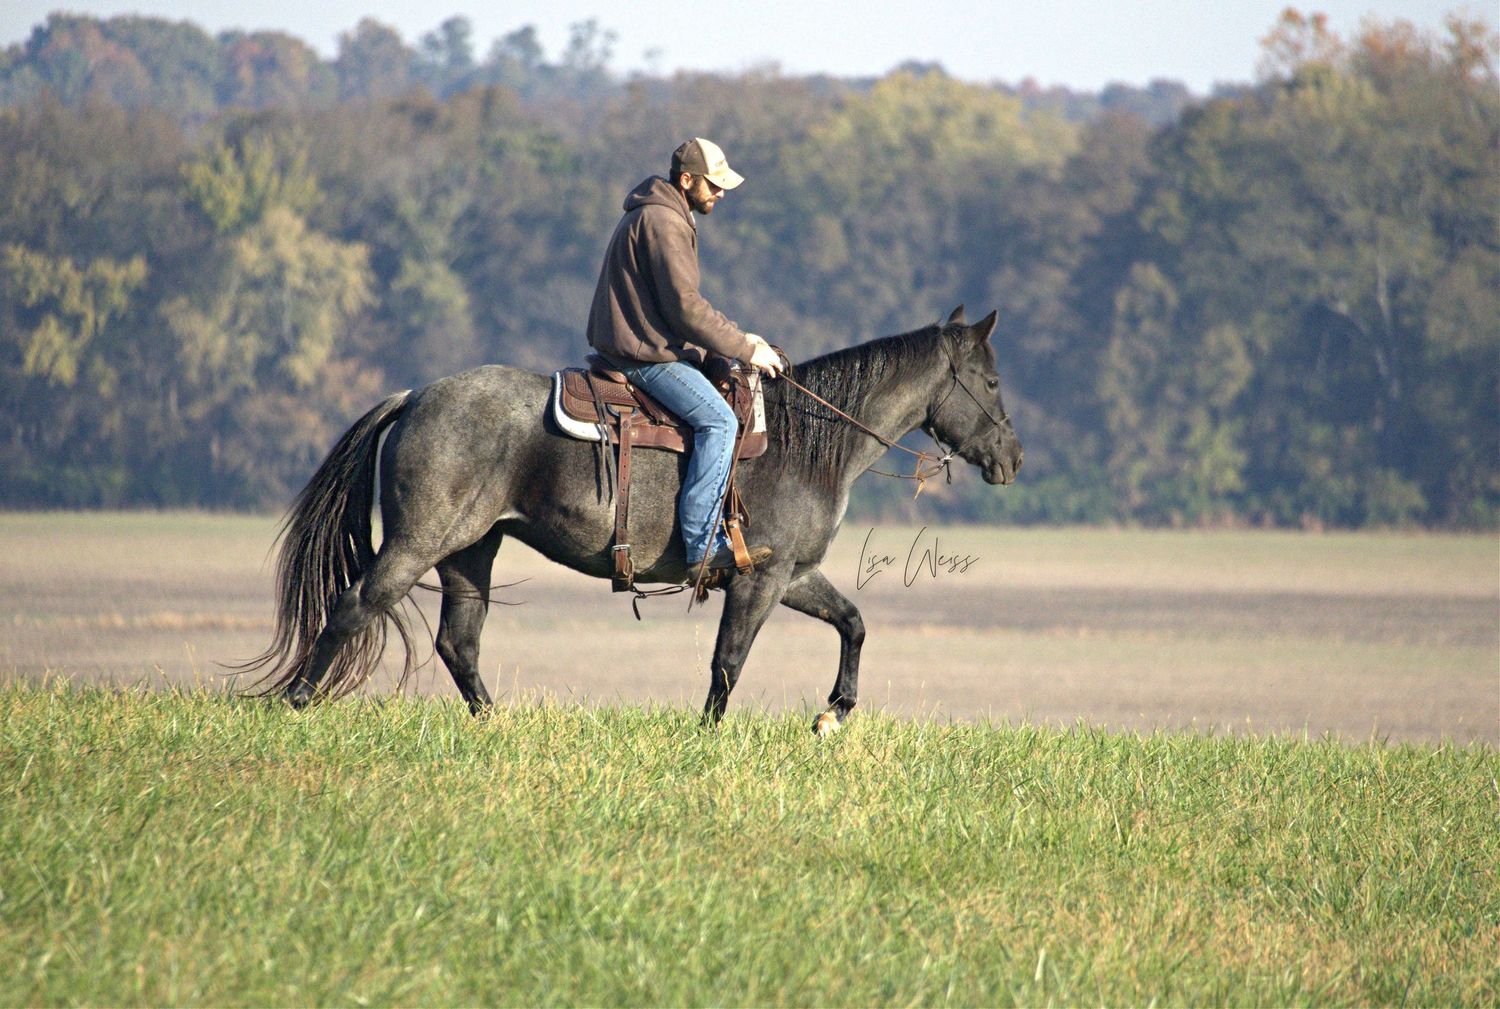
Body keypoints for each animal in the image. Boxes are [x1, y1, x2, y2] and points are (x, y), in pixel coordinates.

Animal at [242, 306, 1022, 734]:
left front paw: (833, 712)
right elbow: (728, 661)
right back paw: (297, 702)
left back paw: (495, 723)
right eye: (989, 381)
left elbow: (853, 623)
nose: (1012, 458)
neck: (807, 442)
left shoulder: (791, 574)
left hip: (471, 552)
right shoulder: (758, 581)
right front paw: (709, 737)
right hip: (418, 543)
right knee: (353, 608)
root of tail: (414, 396)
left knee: (458, 643)